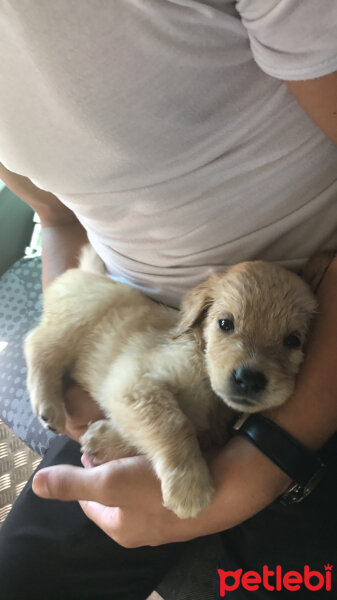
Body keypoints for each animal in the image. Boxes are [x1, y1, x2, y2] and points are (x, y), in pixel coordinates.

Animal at [24, 250, 316, 520]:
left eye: (292, 340)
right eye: (225, 323)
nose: (249, 379)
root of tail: (89, 272)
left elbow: (154, 430)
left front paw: (104, 440)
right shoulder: (135, 382)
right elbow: (173, 423)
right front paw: (189, 485)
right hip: (71, 323)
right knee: (37, 346)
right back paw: (48, 406)